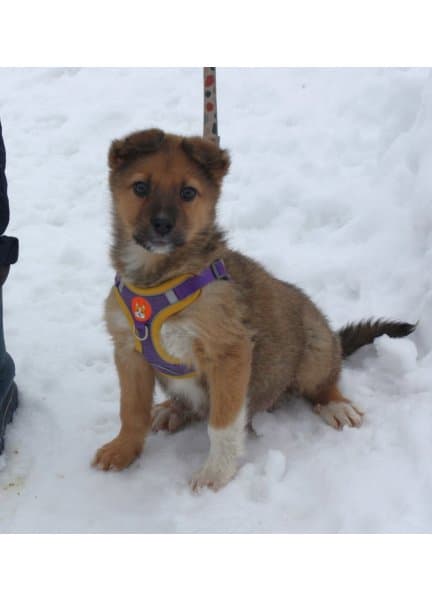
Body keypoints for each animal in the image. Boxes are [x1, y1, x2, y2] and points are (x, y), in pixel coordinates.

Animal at [93, 128, 415, 492]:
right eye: (140, 187)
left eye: (188, 193)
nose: (162, 225)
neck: (159, 277)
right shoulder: (128, 352)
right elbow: (131, 411)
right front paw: (123, 449)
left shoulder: (229, 353)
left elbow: (222, 424)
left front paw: (215, 473)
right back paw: (174, 409)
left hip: (315, 346)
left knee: (324, 381)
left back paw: (336, 405)